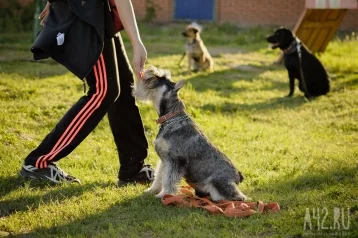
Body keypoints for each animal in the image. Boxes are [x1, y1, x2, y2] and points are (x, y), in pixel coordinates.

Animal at [133, 65, 248, 201]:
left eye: (163, 78)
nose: (148, 70)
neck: (171, 118)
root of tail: (238, 177)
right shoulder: (164, 160)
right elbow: (160, 177)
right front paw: (152, 190)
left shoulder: (175, 160)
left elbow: (169, 179)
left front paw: (164, 194)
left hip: (218, 184)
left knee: (238, 197)